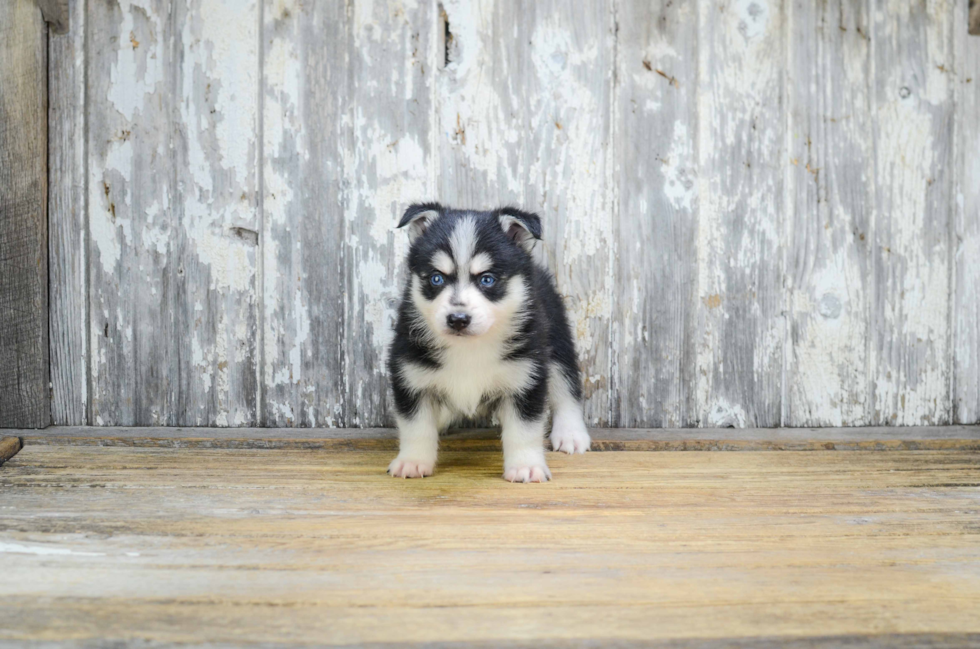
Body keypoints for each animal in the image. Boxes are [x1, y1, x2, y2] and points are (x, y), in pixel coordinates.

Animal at [386, 202, 592, 480]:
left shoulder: (525, 375)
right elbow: (415, 426)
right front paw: (412, 461)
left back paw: (571, 433)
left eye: (487, 279)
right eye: (436, 278)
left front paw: (525, 466)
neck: (469, 348)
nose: (458, 319)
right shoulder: (410, 374)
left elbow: (524, 430)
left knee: (565, 388)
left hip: (557, 341)